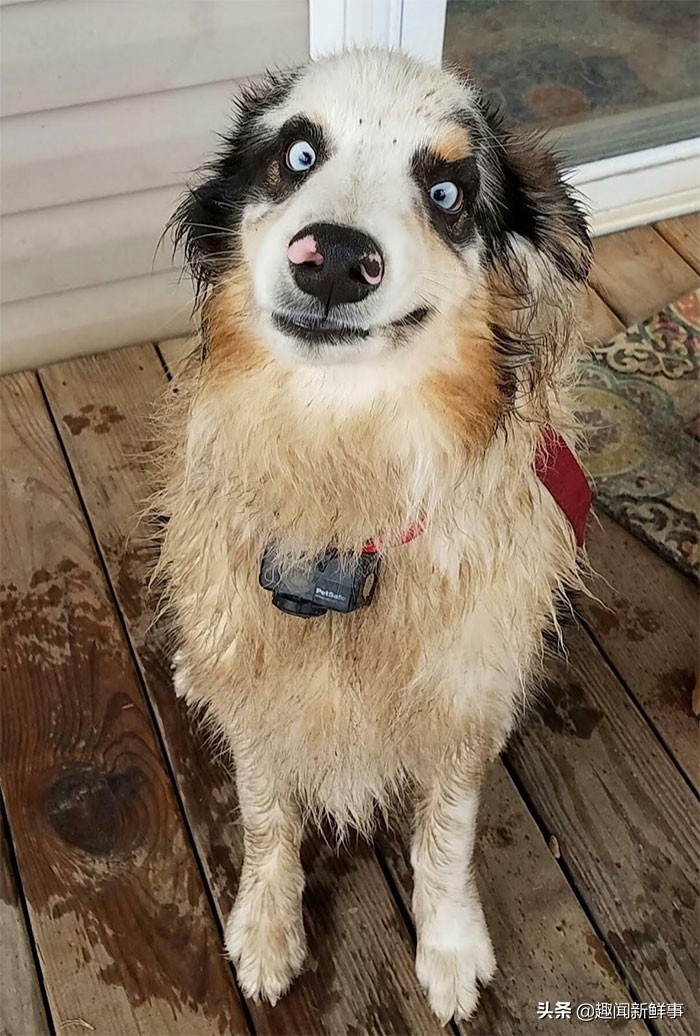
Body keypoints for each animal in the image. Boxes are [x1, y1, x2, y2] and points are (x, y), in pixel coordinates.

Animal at [156, 46, 592, 1019]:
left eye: (448, 192)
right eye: (299, 154)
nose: (333, 261)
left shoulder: (460, 700)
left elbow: (448, 837)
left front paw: (452, 947)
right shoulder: (261, 686)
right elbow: (266, 815)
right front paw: (266, 929)